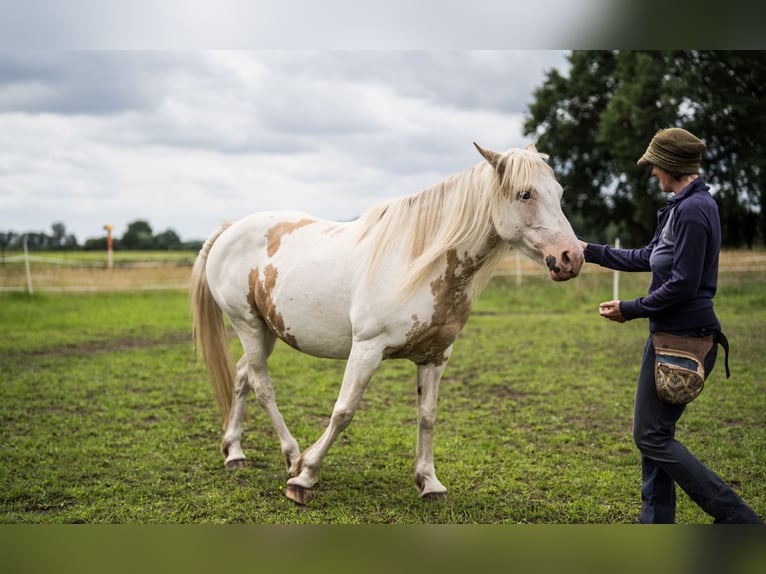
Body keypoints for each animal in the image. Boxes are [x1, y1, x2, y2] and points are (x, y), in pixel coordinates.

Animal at [190, 142, 584, 505]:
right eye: (525, 193)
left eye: (559, 192)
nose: (572, 257)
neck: (418, 262)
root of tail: (229, 230)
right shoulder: (367, 348)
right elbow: (344, 411)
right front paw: (304, 477)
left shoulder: (436, 356)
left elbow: (427, 416)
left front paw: (429, 482)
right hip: (248, 325)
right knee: (262, 385)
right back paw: (291, 455)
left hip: (267, 330)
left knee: (242, 376)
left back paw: (235, 453)